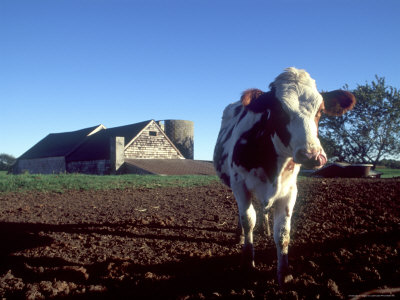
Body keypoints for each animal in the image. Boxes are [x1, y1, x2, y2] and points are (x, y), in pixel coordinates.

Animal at [214, 67, 354, 284]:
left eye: (320, 111)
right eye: (279, 110)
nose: (313, 156)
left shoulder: (289, 191)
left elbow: (283, 232)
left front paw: (284, 273)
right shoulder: (240, 185)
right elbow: (248, 220)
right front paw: (247, 263)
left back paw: (265, 229)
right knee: (245, 215)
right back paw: (240, 234)